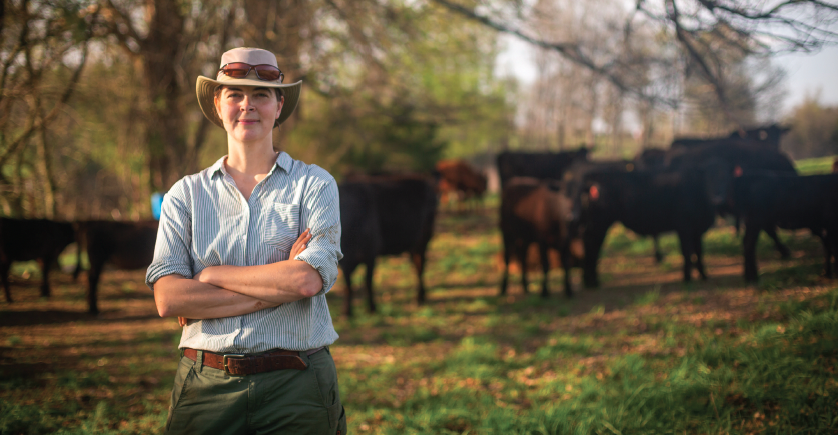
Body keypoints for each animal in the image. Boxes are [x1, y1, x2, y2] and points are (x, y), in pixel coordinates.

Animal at [338, 176, 436, 316]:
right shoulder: (345, 263)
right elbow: (348, 286)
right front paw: (346, 312)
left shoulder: (371, 254)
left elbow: (368, 282)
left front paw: (372, 308)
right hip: (413, 246)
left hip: (423, 239)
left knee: (420, 267)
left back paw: (419, 298)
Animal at [568, 169, 720, 288]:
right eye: (708, 179)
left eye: (721, 175)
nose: (716, 197)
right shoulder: (684, 228)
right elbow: (687, 253)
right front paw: (687, 278)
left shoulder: (696, 231)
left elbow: (699, 251)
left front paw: (703, 275)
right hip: (599, 224)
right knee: (592, 245)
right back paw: (592, 281)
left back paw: (590, 280)